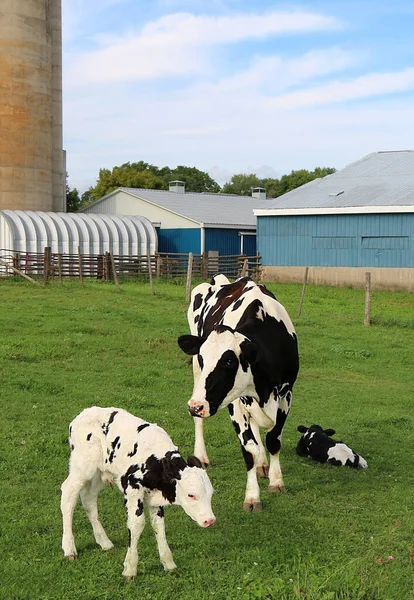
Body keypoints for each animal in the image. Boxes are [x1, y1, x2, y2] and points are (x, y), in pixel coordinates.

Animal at [62, 406, 217, 580]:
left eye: (210, 494)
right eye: (191, 495)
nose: (210, 520)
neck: (155, 461)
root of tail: (83, 413)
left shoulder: (154, 497)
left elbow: (158, 525)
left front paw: (169, 564)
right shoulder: (132, 488)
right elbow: (137, 524)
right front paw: (130, 569)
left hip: (99, 473)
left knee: (88, 498)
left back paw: (105, 543)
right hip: (82, 468)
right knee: (68, 494)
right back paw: (69, 548)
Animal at [176, 276, 300, 510]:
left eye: (229, 361)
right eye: (203, 357)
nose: (195, 406)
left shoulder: (286, 394)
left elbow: (273, 440)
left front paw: (276, 481)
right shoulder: (235, 403)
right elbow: (249, 449)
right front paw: (252, 497)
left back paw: (263, 464)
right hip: (198, 378)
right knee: (202, 421)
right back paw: (201, 455)